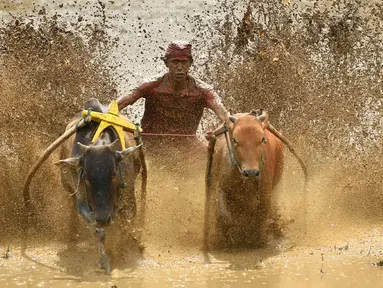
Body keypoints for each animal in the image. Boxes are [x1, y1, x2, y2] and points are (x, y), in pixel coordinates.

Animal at [204, 109, 306, 250]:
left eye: (262, 139)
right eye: (234, 140)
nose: (251, 173)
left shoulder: (266, 194)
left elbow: (261, 217)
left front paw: (257, 240)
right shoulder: (221, 189)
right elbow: (225, 216)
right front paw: (227, 240)